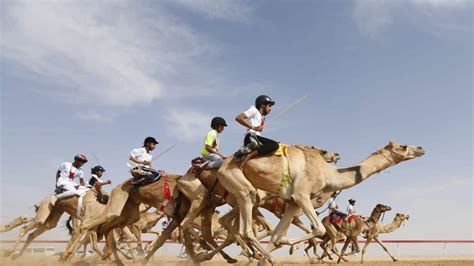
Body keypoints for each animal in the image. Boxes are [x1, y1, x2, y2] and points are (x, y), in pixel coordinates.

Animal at [217, 140, 424, 262]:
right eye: (402, 146)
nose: (421, 148)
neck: (328, 173)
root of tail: (222, 164)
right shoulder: (302, 195)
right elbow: (318, 229)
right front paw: (290, 246)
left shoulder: (293, 202)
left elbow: (276, 236)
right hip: (242, 187)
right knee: (245, 229)